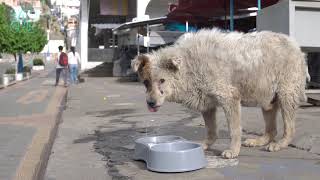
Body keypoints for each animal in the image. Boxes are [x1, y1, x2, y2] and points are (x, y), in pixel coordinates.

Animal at [132, 28, 308, 158]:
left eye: (162, 80)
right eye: (146, 82)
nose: (151, 103)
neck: (189, 65)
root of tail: (295, 45)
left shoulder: (230, 97)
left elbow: (234, 130)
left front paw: (233, 151)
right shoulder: (206, 103)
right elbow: (211, 131)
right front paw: (204, 145)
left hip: (286, 95)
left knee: (290, 129)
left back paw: (279, 144)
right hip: (267, 99)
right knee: (272, 130)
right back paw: (260, 141)